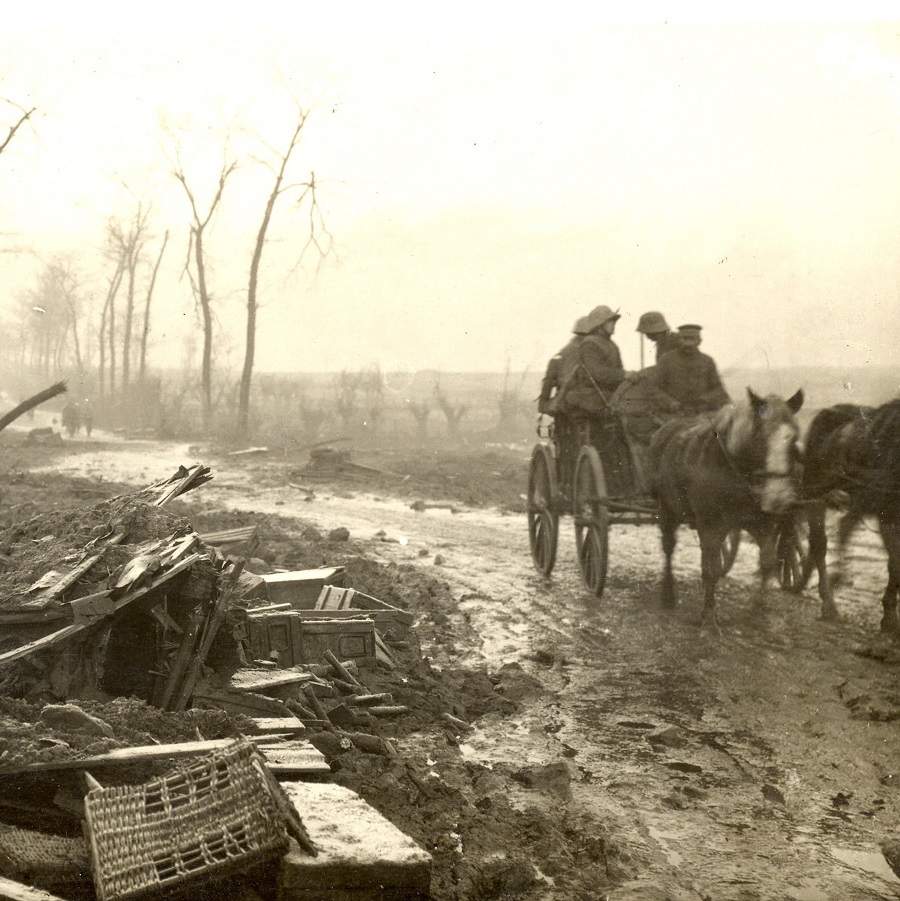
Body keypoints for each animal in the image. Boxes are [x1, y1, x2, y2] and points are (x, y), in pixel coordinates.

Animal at [652, 386, 804, 632]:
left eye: (794, 439)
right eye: (760, 437)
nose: (778, 498)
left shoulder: (763, 524)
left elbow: (767, 563)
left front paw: (758, 610)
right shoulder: (710, 524)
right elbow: (711, 570)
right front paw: (709, 619)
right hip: (666, 508)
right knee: (668, 548)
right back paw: (668, 593)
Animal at [800, 400, 900, 632]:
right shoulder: (887, 516)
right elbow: (895, 564)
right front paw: (890, 618)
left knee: (844, 526)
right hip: (815, 492)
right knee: (819, 543)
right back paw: (829, 603)